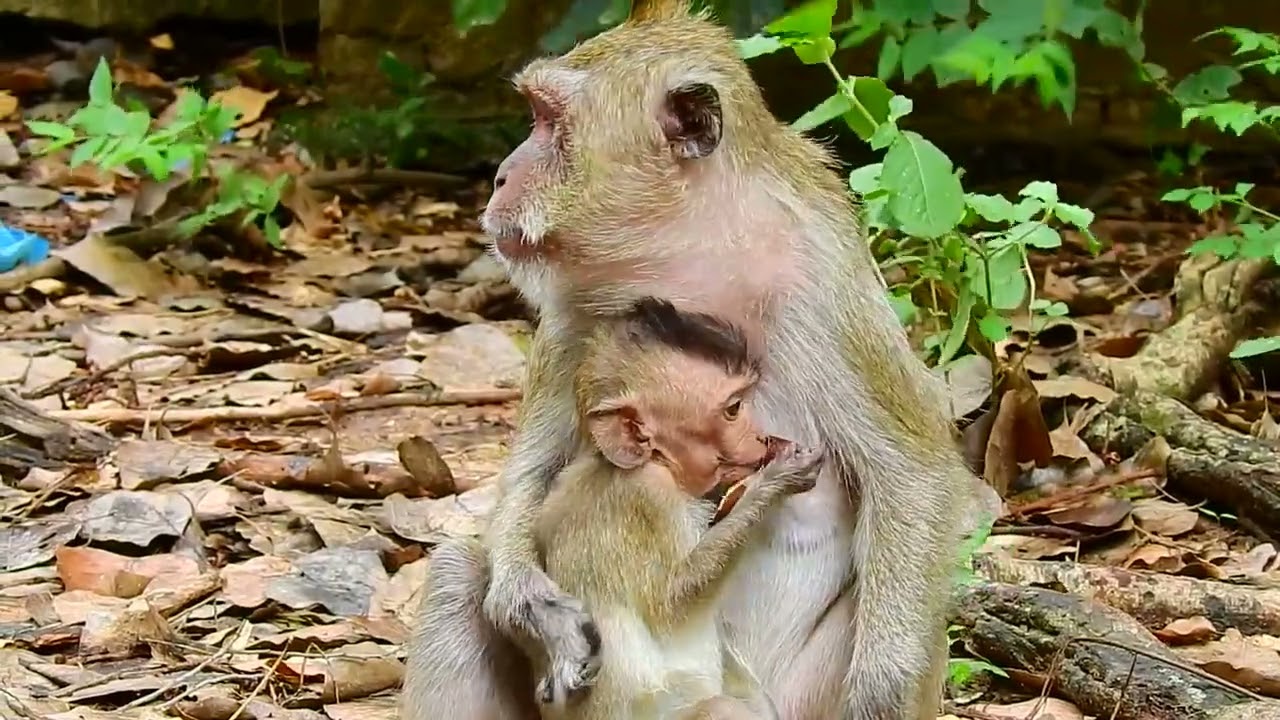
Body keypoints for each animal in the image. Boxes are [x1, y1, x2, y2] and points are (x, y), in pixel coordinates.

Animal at [533, 297, 821, 720]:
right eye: (734, 409)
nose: (759, 435)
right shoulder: (648, 496)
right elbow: (670, 606)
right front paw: (776, 481)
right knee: (718, 708)